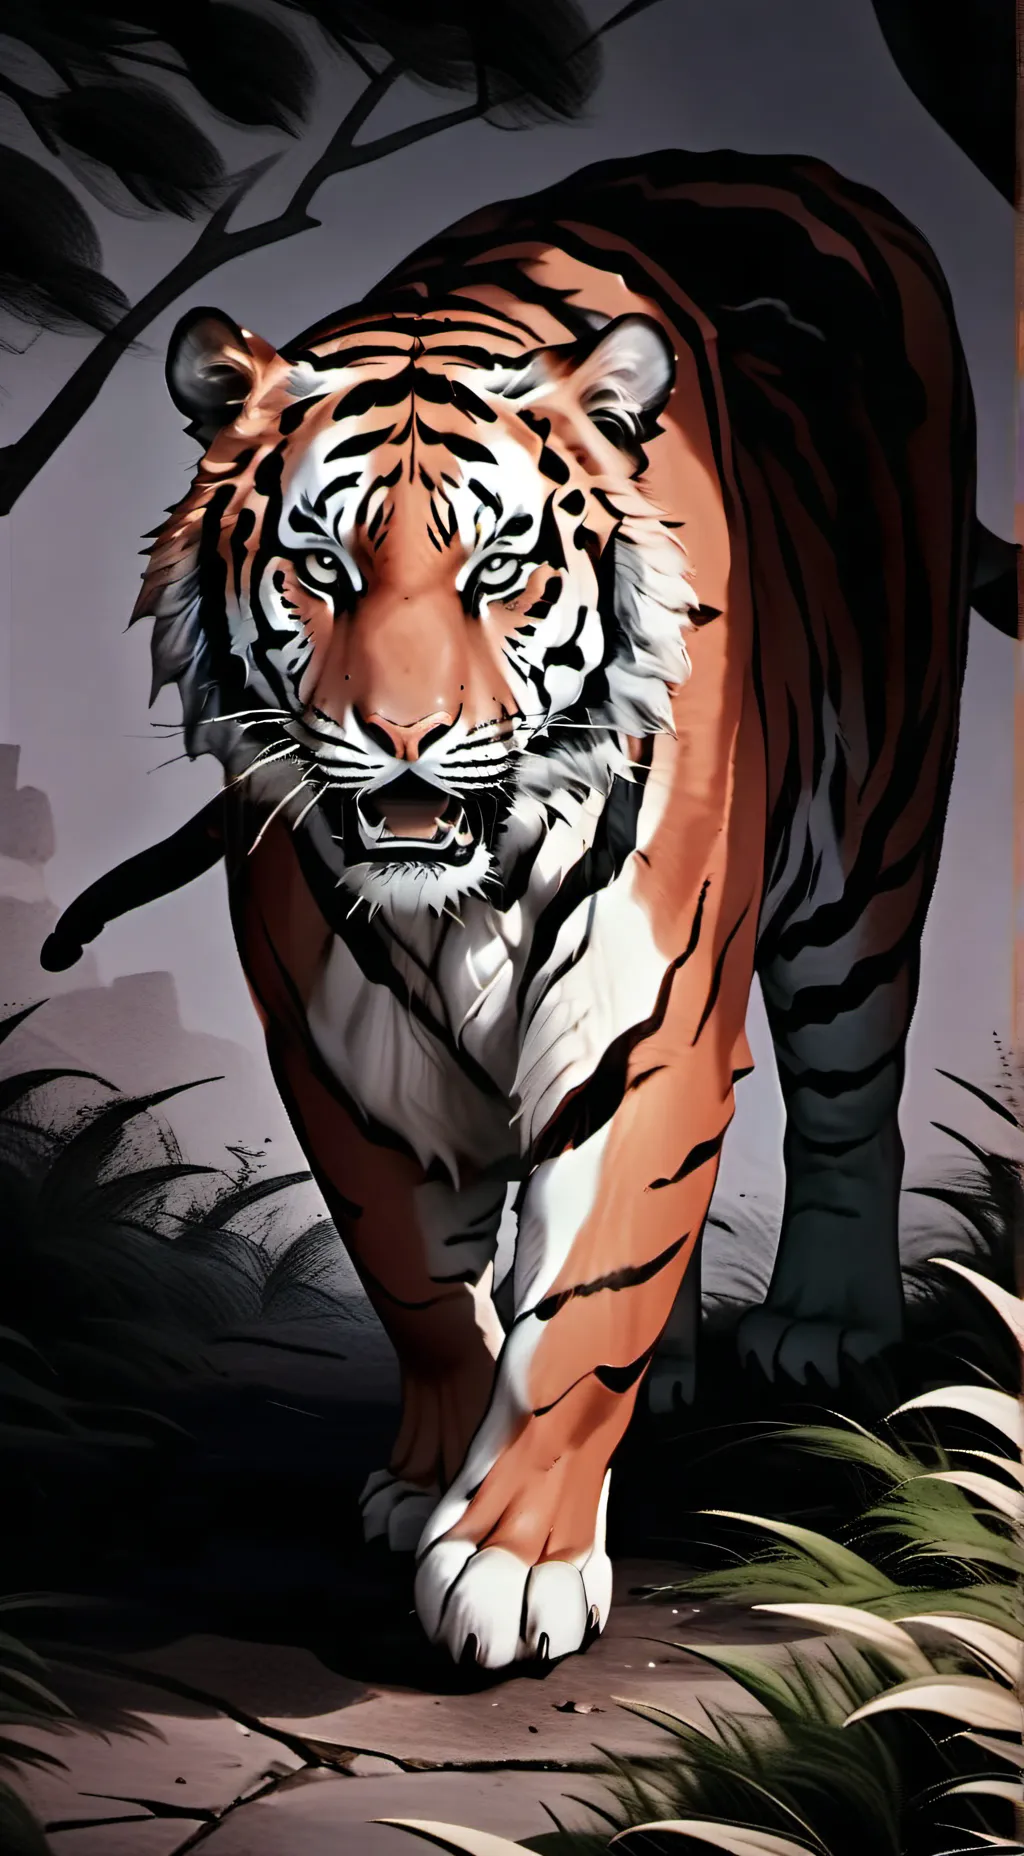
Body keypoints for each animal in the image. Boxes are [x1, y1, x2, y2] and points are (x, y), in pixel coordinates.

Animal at [42, 147, 1007, 1672]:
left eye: (496, 569)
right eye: (323, 565)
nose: (405, 739)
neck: (460, 897)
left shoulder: (647, 1028)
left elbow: (591, 1300)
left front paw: (513, 1557)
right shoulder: (336, 1050)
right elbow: (421, 1282)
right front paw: (435, 1474)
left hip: (869, 848)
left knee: (853, 1100)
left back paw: (823, 1322)